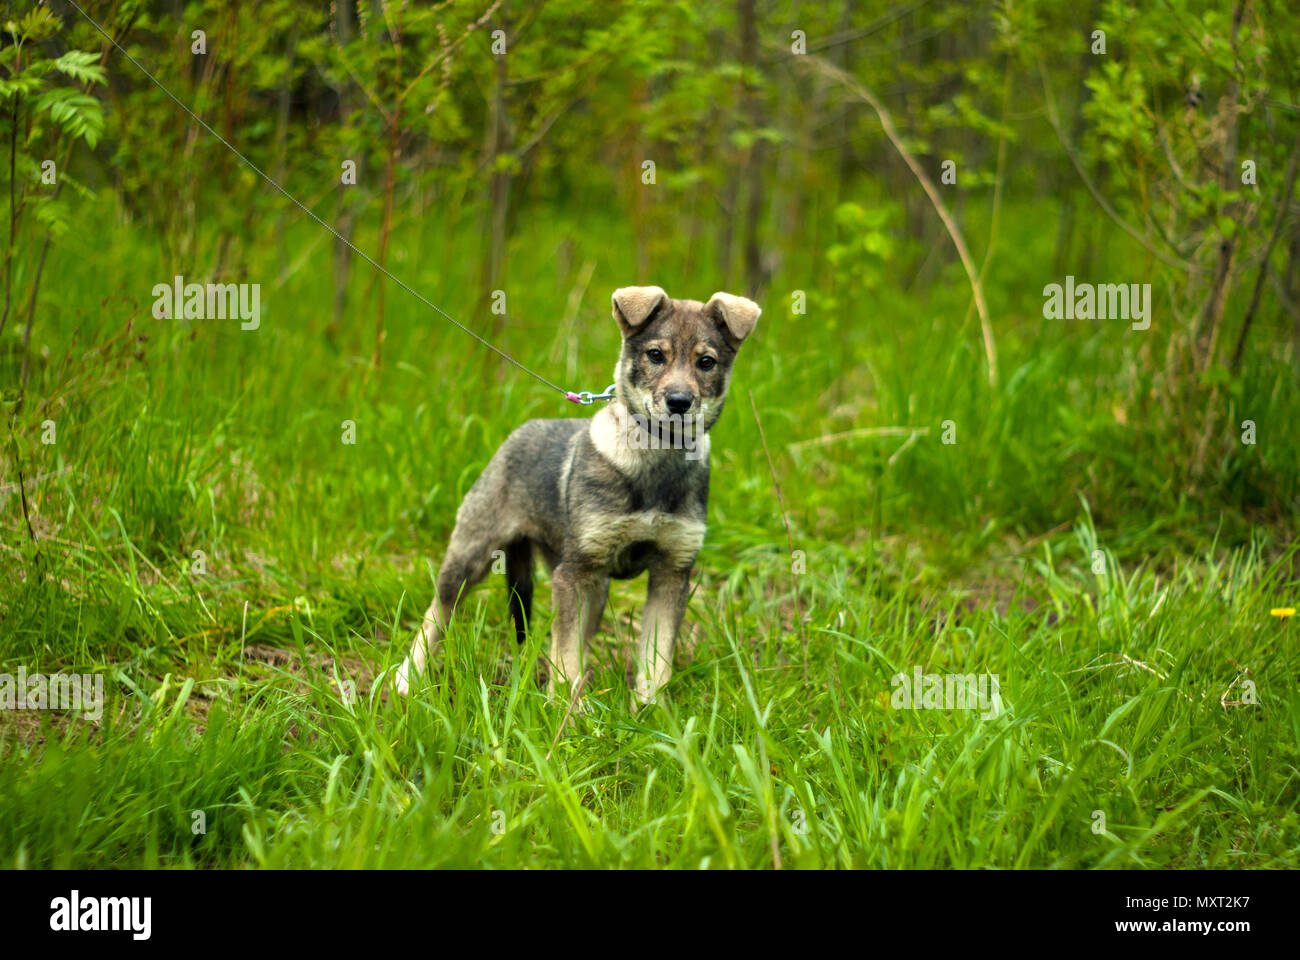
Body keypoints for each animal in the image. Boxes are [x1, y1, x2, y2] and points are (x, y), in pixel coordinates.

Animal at [395, 283, 759, 702]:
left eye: (706, 362)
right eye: (655, 355)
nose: (679, 403)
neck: (657, 459)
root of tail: (516, 434)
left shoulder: (671, 572)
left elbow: (655, 657)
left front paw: (650, 708)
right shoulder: (575, 572)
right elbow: (566, 652)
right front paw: (567, 707)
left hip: (591, 584)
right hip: (474, 555)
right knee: (438, 612)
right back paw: (407, 677)